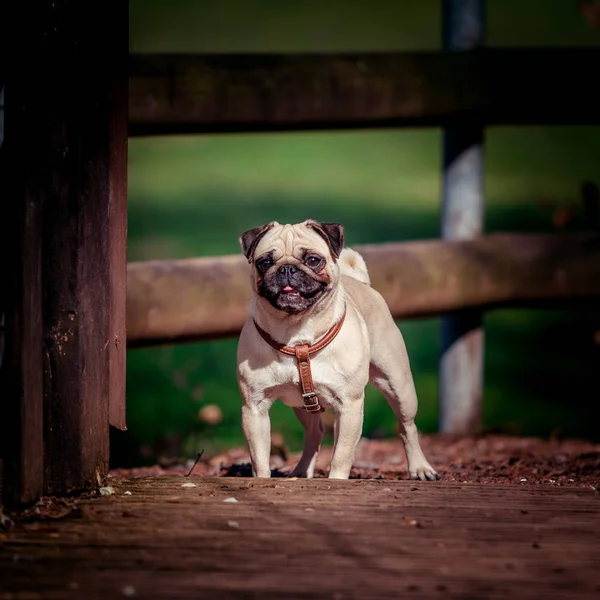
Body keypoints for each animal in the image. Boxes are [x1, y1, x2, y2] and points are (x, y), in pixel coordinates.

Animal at [237, 220, 438, 482]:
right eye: (265, 263)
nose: (287, 269)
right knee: (314, 434)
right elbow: (259, 458)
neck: (297, 335)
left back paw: (420, 468)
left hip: (398, 386)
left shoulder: (349, 405)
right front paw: (261, 480)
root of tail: (362, 282)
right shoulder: (254, 408)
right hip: (302, 405)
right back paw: (302, 471)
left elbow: (342, 455)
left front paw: (337, 482)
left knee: (407, 427)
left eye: (313, 260)